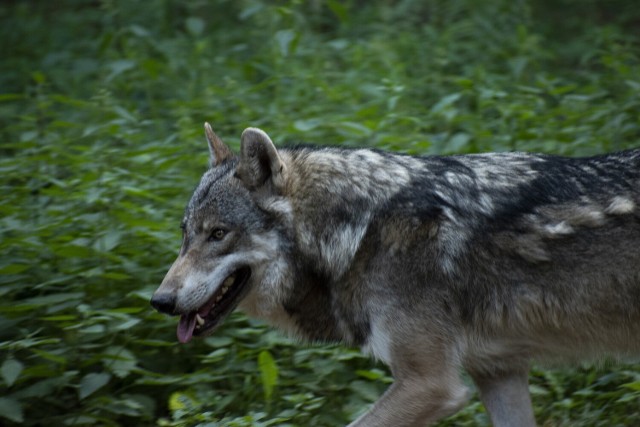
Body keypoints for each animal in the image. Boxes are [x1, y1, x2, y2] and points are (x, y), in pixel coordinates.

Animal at [151, 123, 640, 424]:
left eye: (218, 234)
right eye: (185, 234)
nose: (159, 301)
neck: (358, 234)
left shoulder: (430, 385)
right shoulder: (500, 373)